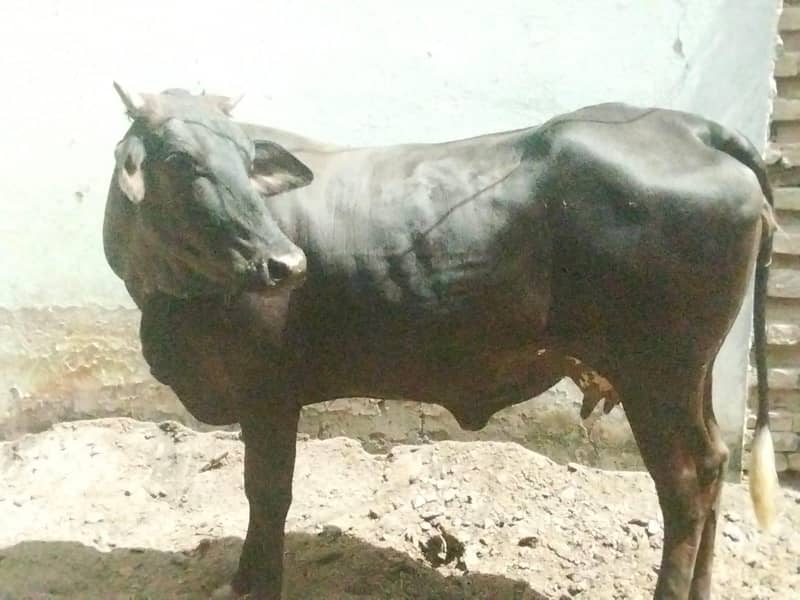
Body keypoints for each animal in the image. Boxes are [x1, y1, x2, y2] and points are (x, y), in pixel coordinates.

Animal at [103, 84, 778, 600]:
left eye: (247, 159)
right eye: (179, 160)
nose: (285, 264)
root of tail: (686, 126)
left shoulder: (268, 393)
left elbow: (267, 494)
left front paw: (258, 583)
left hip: (656, 375)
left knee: (685, 481)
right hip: (691, 375)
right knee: (715, 463)